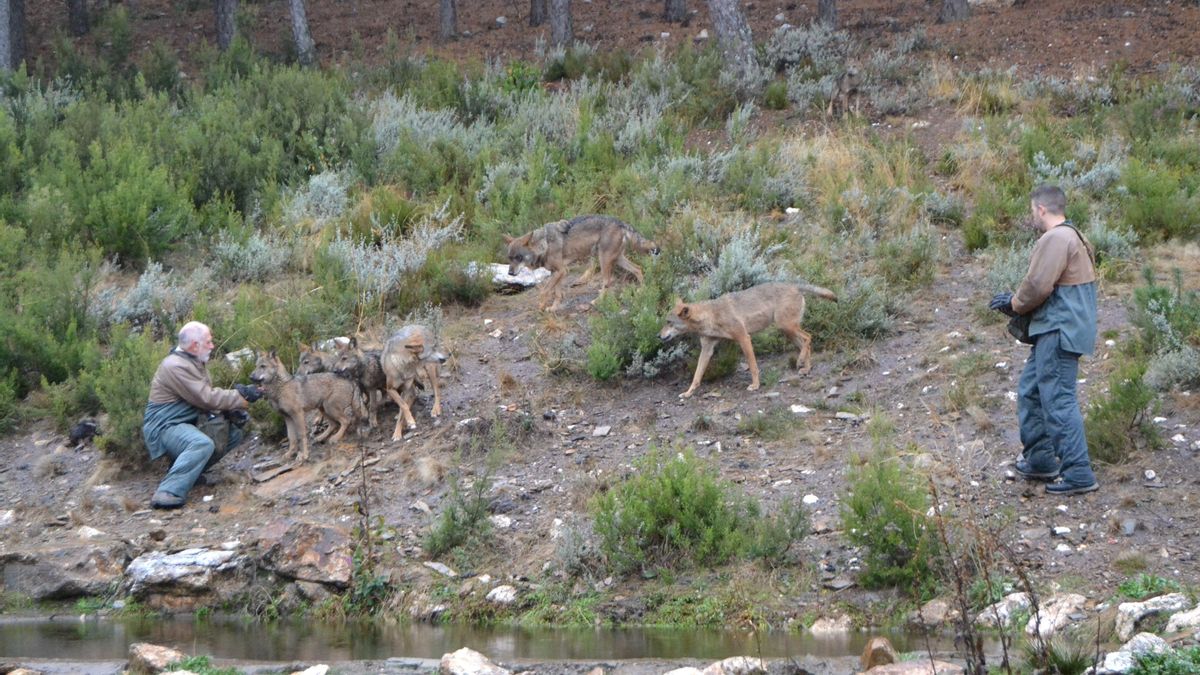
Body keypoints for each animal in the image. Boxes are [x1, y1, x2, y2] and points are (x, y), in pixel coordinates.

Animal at [504, 213, 662, 312]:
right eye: (509, 258)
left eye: (518, 257)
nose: (510, 273)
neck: (544, 244)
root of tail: (621, 222)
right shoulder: (558, 272)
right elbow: (557, 294)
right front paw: (553, 308)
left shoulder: (561, 271)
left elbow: (544, 291)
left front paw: (541, 306)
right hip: (618, 259)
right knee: (638, 269)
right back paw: (643, 290)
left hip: (603, 260)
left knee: (607, 282)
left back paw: (597, 301)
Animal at [657, 281, 835, 396]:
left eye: (668, 322)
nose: (658, 335)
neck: (711, 316)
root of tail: (793, 285)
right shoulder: (707, 349)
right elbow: (696, 376)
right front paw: (688, 393)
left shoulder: (744, 338)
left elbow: (753, 366)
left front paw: (755, 385)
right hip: (787, 331)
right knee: (806, 343)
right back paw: (806, 368)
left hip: (786, 327)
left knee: (808, 337)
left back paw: (800, 362)